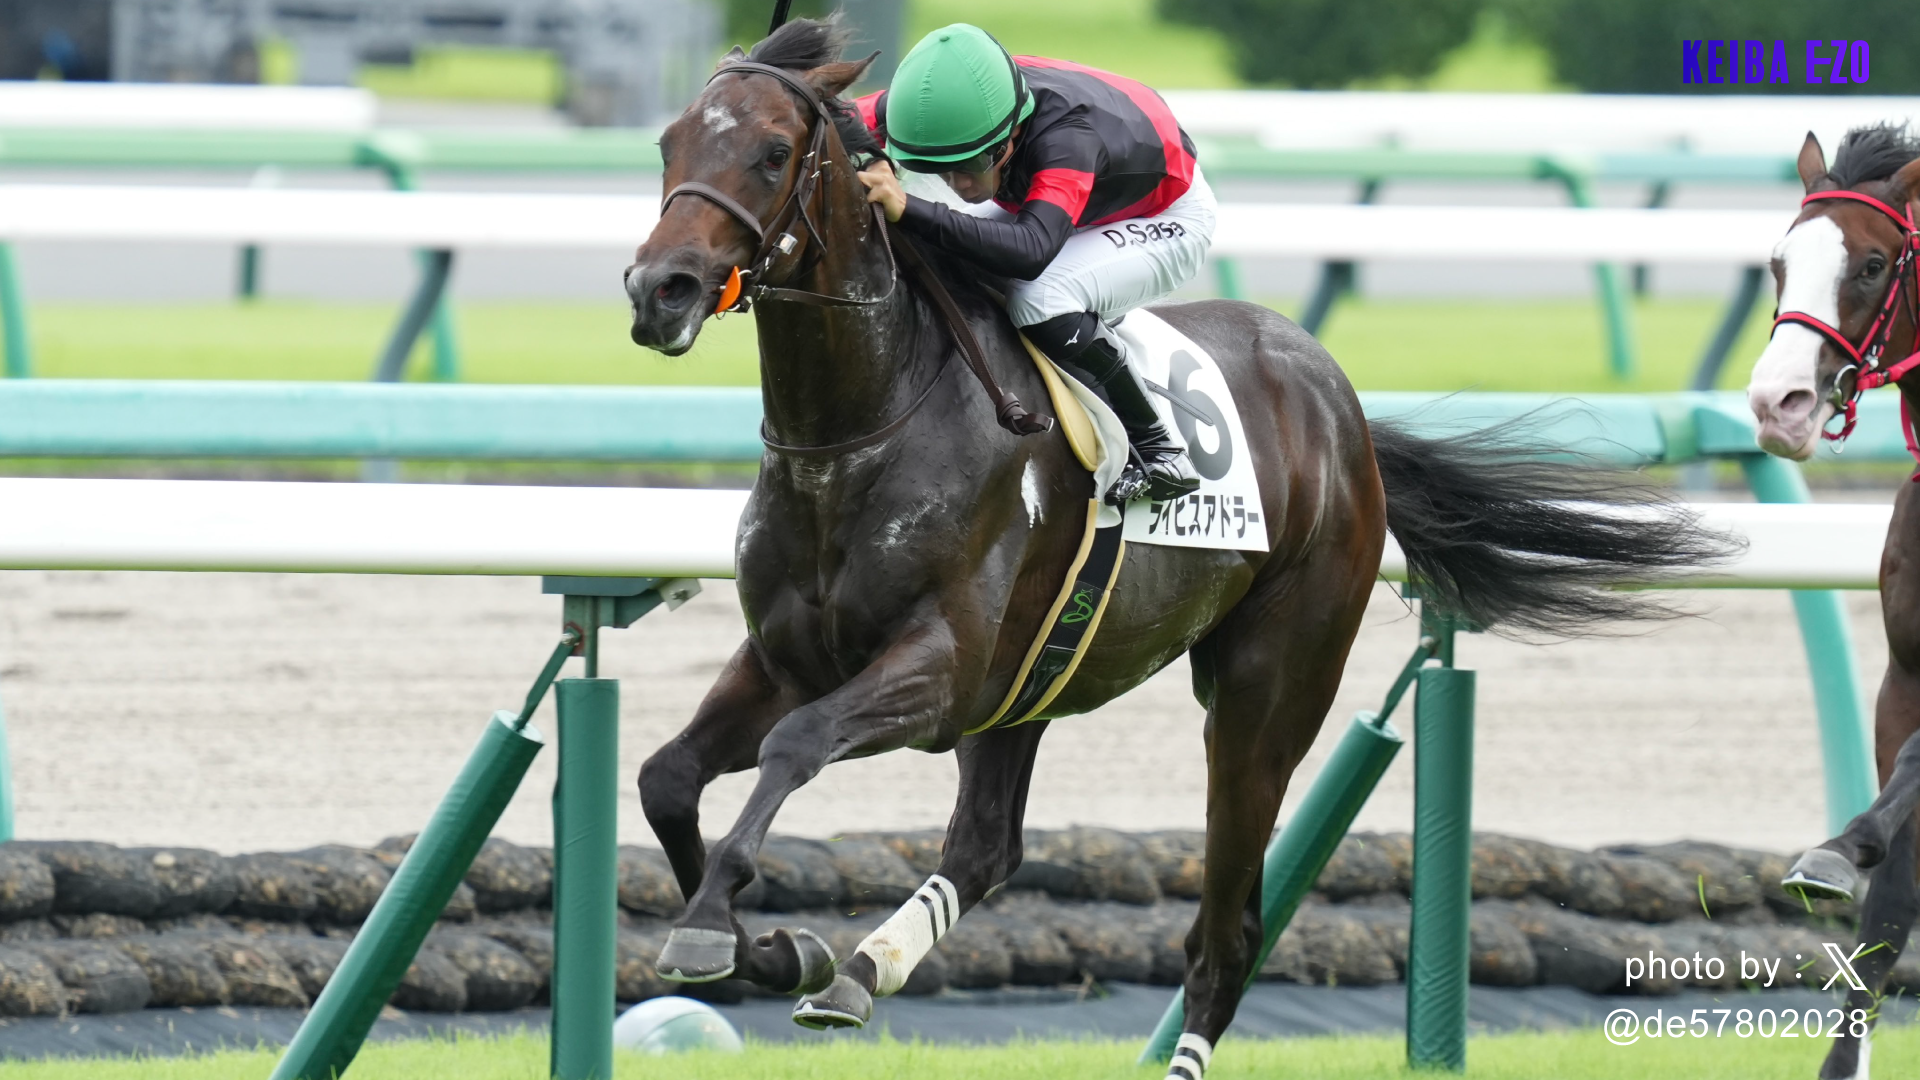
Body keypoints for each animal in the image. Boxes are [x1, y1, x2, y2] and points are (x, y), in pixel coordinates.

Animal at [625, 20, 1728, 1076]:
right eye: (668, 141)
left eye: (773, 152)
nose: (658, 289)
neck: (865, 427)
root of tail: (1343, 408)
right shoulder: (789, 657)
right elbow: (668, 777)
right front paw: (774, 949)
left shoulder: (939, 668)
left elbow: (796, 743)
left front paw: (721, 926)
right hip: (1035, 677)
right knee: (986, 847)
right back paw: (860, 971)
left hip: (1260, 698)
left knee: (1226, 933)